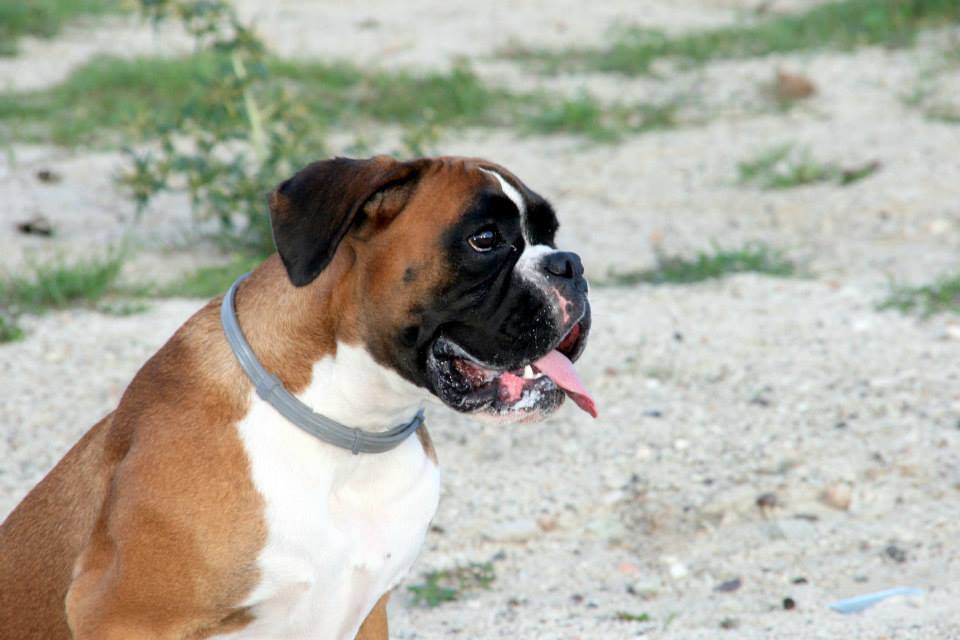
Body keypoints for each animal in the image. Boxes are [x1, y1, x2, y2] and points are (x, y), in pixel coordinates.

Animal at [0, 155, 594, 639]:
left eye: (551, 232)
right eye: (485, 239)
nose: (570, 264)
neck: (351, 428)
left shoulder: (369, 612)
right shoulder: (122, 617)